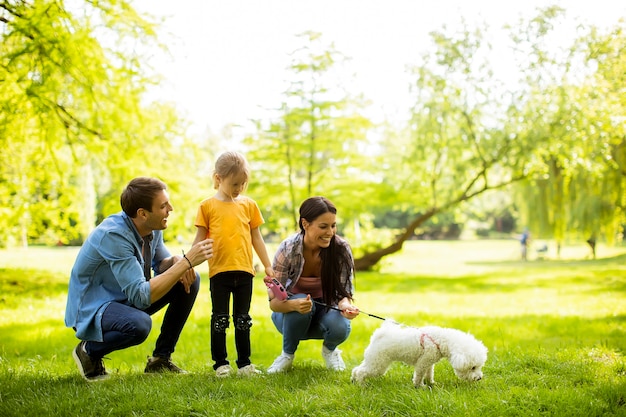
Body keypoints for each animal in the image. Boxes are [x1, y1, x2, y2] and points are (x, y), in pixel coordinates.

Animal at [348, 318, 486, 386]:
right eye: (473, 367)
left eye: (478, 366)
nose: (479, 378)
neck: (440, 340)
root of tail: (378, 336)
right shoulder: (423, 362)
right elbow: (419, 376)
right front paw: (420, 386)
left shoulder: (430, 362)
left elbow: (430, 374)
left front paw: (432, 383)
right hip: (378, 364)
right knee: (361, 371)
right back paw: (361, 385)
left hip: (372, 360)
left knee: (356, 369)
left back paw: (354, 380)